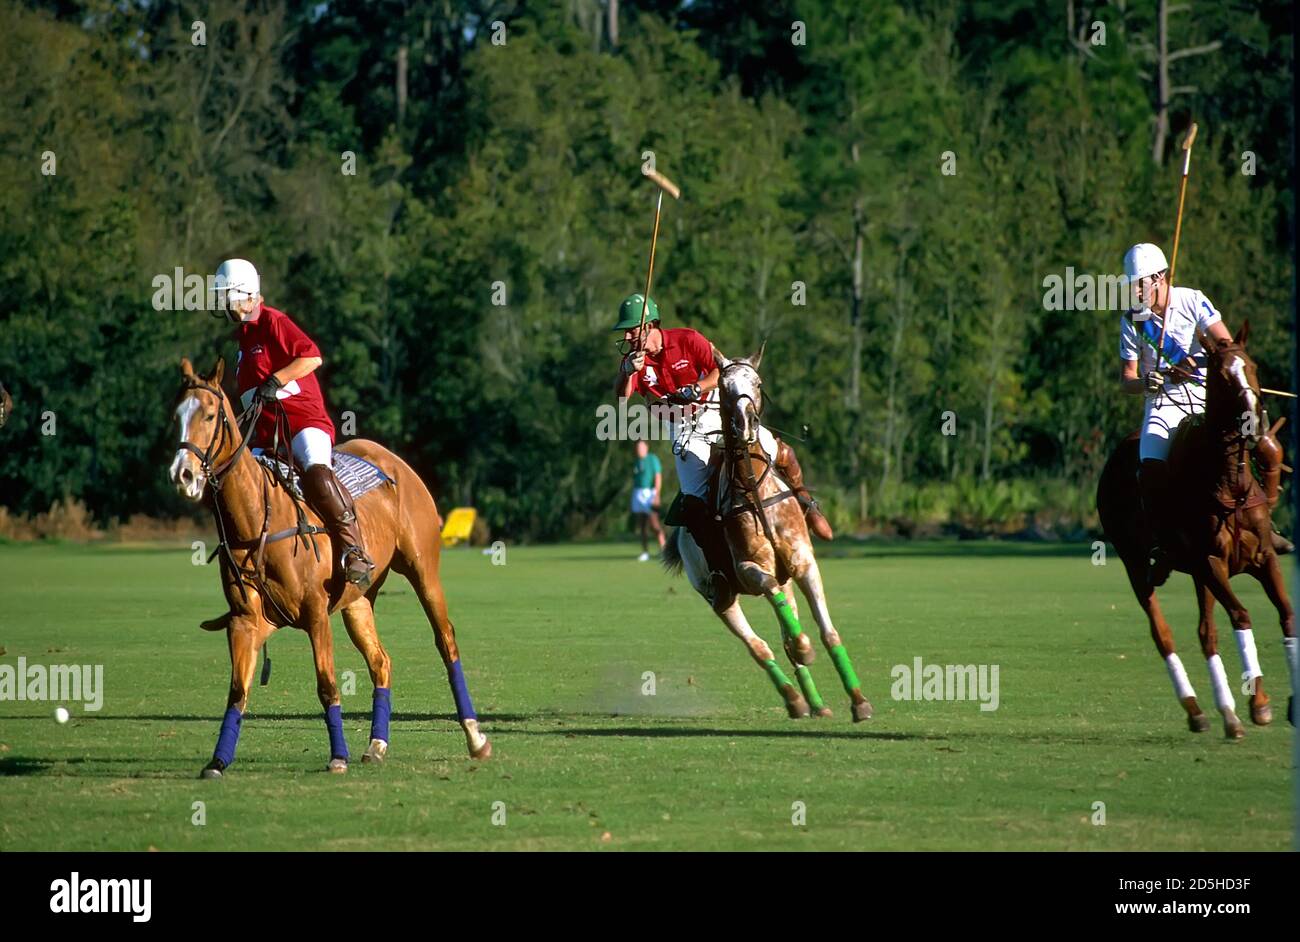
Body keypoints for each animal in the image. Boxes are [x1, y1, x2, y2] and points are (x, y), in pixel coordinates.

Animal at [169, 357, 491, 777]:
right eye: (177, 415)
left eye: (209, 414)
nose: (182, 475)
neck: (257, 521)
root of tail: (391, 457)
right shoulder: (246, 620)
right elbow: (238, 690)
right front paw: (218, 761)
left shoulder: (315, 613)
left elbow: (327, 684)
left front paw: (338, 756)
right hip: (358, 599)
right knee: (380, 660)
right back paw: (377, 744)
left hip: (423, 570)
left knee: (446, 641)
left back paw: (475, 738)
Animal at [663, 346, 873, 721]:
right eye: (725, 389)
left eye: (757, 383)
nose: (745, 424)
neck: (753, 487)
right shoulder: (750, 569)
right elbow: (778, 611)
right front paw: (804, 649)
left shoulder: (803, 562)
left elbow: (827, 632)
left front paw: (859, 701)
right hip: (719, 598)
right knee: (759, 647)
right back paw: (795, 699)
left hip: (786, 579)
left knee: (785, 629)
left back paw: (816, 704)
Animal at [1097, 321, 1296, 737]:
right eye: (1223, 375)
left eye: (1252, 366)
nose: (1255, 423)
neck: (1229, 485)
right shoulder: (1210, 561)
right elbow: (1242, 616)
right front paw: (1260, 704)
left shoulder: (1263, 557)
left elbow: (1285, 613)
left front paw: (1287, 703)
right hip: (1135, 563)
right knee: (1163, 633)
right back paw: (1196, 709)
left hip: (1198, 576)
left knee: (1207, 634)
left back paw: (1227, 714)